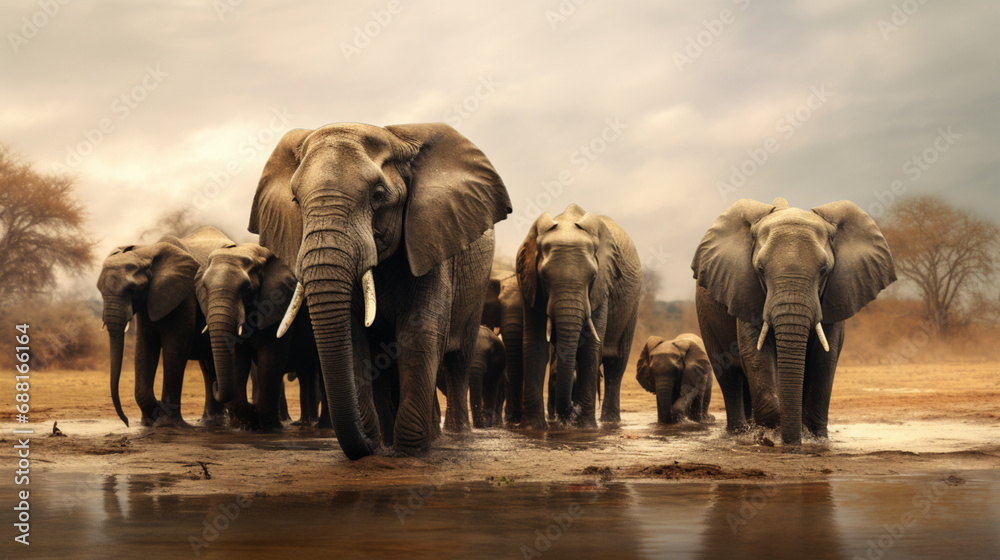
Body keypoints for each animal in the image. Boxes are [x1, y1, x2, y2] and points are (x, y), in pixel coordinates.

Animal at [97, 228, 229, 427]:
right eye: (99, 290)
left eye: (132, 289)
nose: (126, 422)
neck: (145, 252)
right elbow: (144, 349)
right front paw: (148, 421)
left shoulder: (184, 295)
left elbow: (175, 348)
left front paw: (166, 424)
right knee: (207, 363)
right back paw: (211, 420)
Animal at [193, 235, 321, 431]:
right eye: (205, 288)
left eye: (247, 288)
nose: (215, 384)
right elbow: (237, 360)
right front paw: (244, 426)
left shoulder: (278, 305)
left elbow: (270, 360)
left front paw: (269, 427)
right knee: (307, 373)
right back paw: (305, 424)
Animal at [249, 122, 511, 459]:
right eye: (295, 200)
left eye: (378, 195)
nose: (365, 446)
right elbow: (356, 340)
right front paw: (378, 447)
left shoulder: (428, 240)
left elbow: (419, 333)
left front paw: (411, 454)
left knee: (457, 362)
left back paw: (454, 438)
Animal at [516, 204, 641, 428]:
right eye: (544, 276)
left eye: (593, 276)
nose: (571, 412)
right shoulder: (528, 282)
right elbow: (534, 343)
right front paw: (534, 427)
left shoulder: (602, 287)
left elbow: (591, 346)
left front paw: (585, 427)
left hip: (633, 303)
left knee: (616, 364)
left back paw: (609, 423)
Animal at [692, 197, 896, 446]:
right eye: (760, 270)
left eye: (824, 270)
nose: (792, 441)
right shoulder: (745, 291)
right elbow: (755, 352)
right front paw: (769, 436)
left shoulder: (835, 294)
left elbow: (825, 357)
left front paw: (815, 439)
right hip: (706, 317)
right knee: (729, 376)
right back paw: (739, 434)